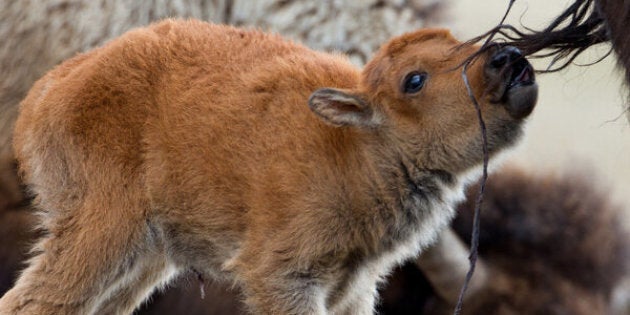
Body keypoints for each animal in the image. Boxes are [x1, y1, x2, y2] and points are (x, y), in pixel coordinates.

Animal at [2, 19, 540, 315]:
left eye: (458, 41)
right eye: (414, 80)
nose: (508, 58)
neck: (355, 146)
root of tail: (48, 91)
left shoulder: (354, 287)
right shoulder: (282, 276)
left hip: (147, 257)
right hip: (103, 231)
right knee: (31, 302)